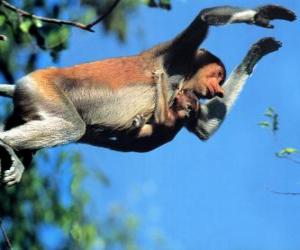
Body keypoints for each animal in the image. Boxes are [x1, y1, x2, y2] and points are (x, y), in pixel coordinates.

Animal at [0, 3, 296, 186]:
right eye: (217, 76)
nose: (219, 89)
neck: (183, 77)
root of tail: (23, 82)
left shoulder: (187, 96)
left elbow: (204, 128)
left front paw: (255, 54)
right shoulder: (173, 58)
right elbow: (204, 18)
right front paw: (263, 15)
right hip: (43, 87)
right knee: (70, 127)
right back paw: (6, 143)